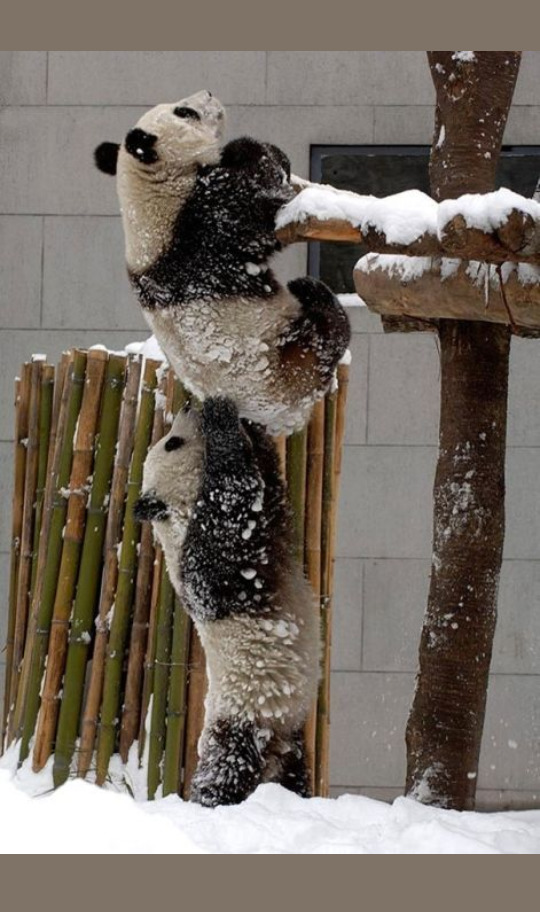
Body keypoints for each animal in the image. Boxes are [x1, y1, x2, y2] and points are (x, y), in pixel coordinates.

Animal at [95, 90, 350, 436]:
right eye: (185, 112)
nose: (209, 93)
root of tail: (282, 420)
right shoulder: (204, 223)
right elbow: (259, 197)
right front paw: (245, 149)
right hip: (291, 358)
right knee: (327, 334)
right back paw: (313, 292)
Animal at [134, 396, 320, 807]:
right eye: (172, 443)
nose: (188, 405)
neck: (175, 511)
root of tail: (272, 752)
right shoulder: (203, 561)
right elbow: (231, 510)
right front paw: (220, 417)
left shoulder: (271, 515)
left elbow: (269, 482)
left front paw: (250, 426)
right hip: (240, 716)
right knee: (225, 770)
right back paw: (209, 801)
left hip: (289, 732)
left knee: (294, 774)